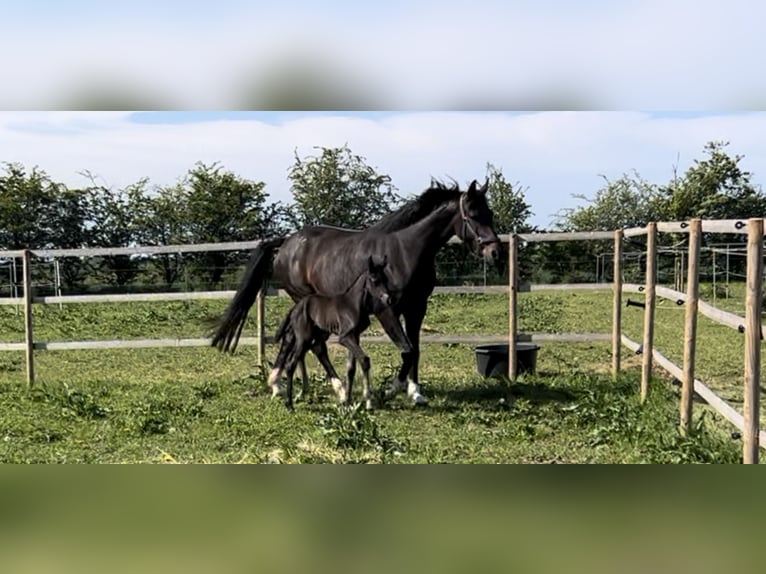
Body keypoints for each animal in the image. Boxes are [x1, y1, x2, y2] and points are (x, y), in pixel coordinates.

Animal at [216, 180, 504, 404]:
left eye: (489, 213)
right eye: (473, 214)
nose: (495, 252)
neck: (406, 251)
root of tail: (286, 242)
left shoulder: (417, 308)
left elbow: (416, 349)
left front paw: (415, 392)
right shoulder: (387, 309)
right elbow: (407, 350)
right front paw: (391, 390)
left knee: (295, 339)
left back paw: (289, 385)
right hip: (304, 301)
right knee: (314, 344)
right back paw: (334, 389)